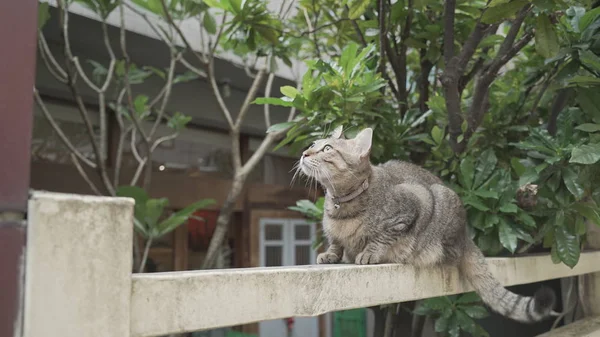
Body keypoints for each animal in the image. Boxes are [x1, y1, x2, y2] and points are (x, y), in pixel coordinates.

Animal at [302, 124, 556, 322]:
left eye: (327, 148)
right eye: (313, 143)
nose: (305, 153)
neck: (342, 203)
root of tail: (466, 237)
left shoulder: (413, 205)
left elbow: (382, 236)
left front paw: (370, 252)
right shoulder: (334, 233)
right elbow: (336, 241)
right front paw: (331, 254)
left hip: (443, 201)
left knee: (451, 255)